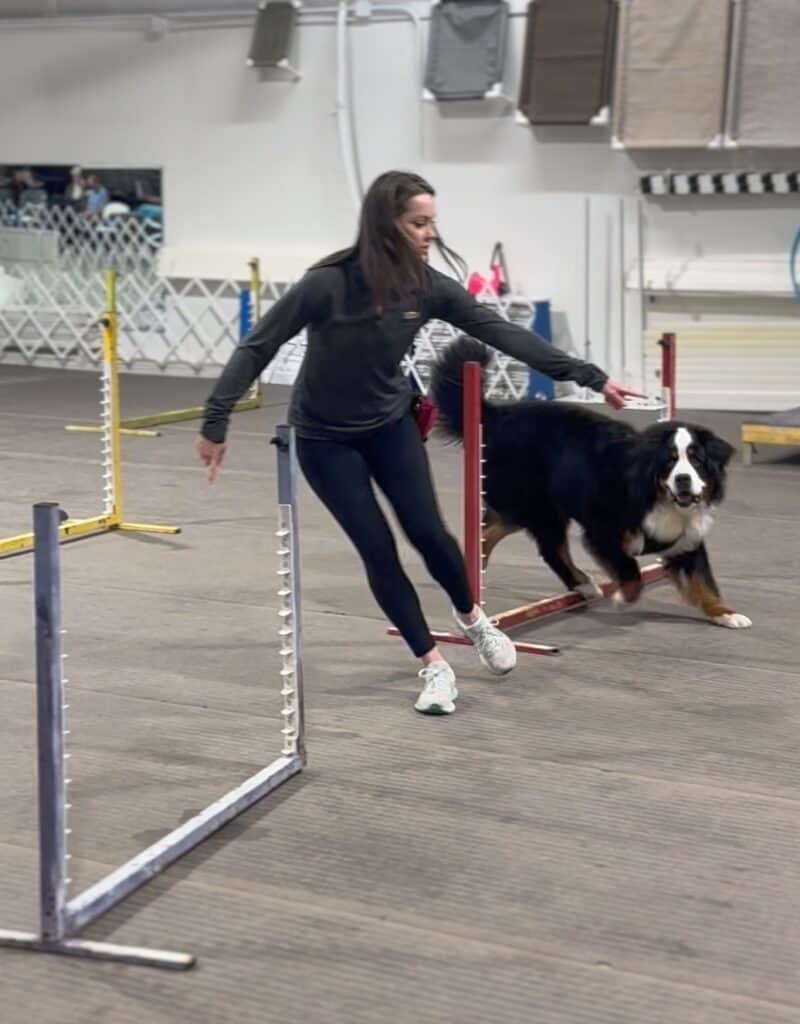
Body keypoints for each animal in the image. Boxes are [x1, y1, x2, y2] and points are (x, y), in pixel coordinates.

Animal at [430, 335, 749, 626]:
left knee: (501, 532)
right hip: (533, 504)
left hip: (529, 507)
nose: (683, 479)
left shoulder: (686, 538)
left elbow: (703, 582)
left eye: (697, 460)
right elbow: (631, 572)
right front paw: (622, 598)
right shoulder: (603, 530)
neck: (657, 496)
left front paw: (726, 613)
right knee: (546, 547)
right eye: (669, 461)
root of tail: (499, 414)